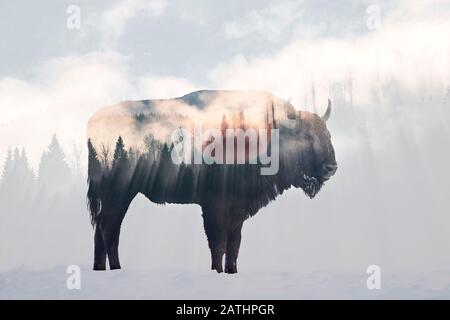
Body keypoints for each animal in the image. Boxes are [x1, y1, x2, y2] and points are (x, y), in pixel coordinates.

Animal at [86, 90, 336, 272]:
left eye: (328, 133)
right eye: (304, 135)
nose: (331, 167)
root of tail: (92, 122)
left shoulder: (238, 210)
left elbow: (234, 246)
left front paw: (232, 272)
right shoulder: (214, 207)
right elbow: (219, 244)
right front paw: (217, 271)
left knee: (102, 228)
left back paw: (101, 269)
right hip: (118, 192)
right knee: (109, 228)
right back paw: (116, 269)